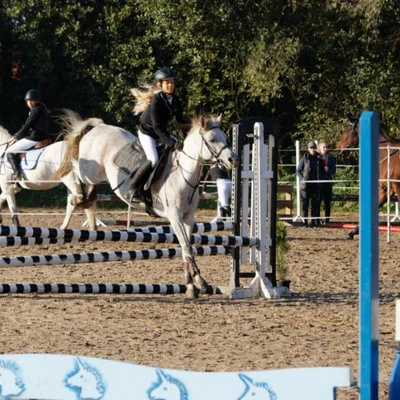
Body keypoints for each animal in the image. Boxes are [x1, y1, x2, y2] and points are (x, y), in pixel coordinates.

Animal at [55, 109, 238, 296]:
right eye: (212, 139)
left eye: (225, 137)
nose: (233, 160)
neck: (183, 175)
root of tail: (99, 126)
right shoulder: (174, 217)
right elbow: (186, 246)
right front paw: (196, 283)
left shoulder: (188, 217)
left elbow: (187, 248)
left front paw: (194, 284)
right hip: (91, 169)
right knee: (76, 169)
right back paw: (76, 194)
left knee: (88, 192)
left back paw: (84, 199)